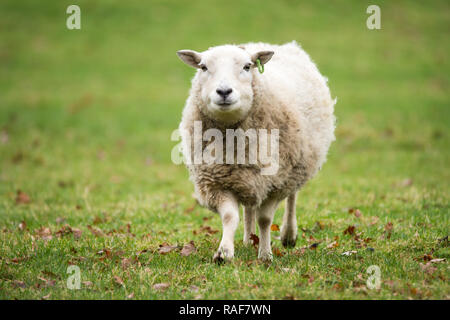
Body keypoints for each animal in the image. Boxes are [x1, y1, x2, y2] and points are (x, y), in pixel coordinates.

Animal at [178, 42, 336, 262]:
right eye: (203, 67)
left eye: (247, 67)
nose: (224, 91)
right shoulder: (217, 183)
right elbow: (230, 216)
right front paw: (224, 252)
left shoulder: (275, 184)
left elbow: (265, 219)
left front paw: (265, 254)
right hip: (247, 177)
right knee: (249, 208)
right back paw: (248, 240)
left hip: (296, 167)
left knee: (292, 197)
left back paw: (288, 234)